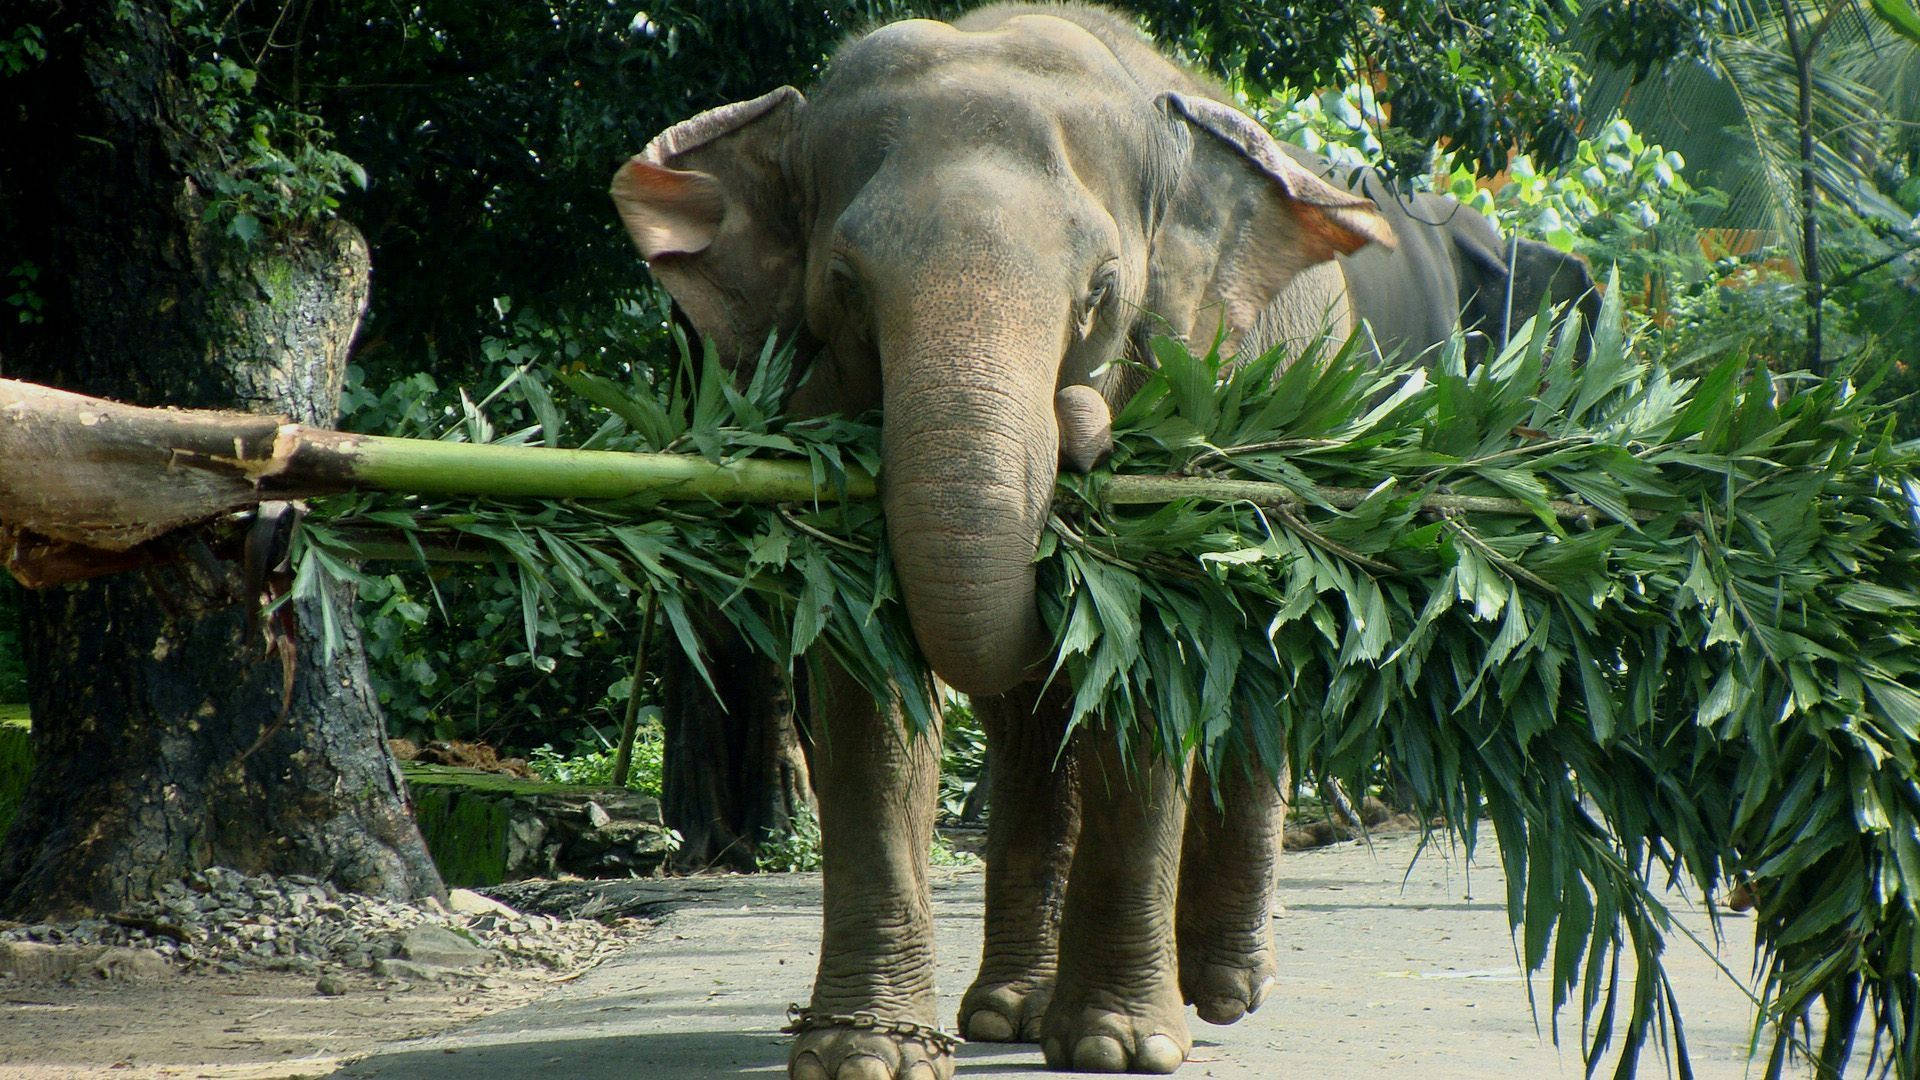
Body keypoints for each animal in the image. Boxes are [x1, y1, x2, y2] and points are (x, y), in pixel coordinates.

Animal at [614, 4, 1397, 1068]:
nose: (1077, 427)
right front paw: (864, 1054)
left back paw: (1224, 991)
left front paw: (1117, 1049)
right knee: (1033, 725)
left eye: (1102, 290)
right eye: (845, 283)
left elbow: (1148, 673)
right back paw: (1005, 1013)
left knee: (1251, 671)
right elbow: (868, 684)